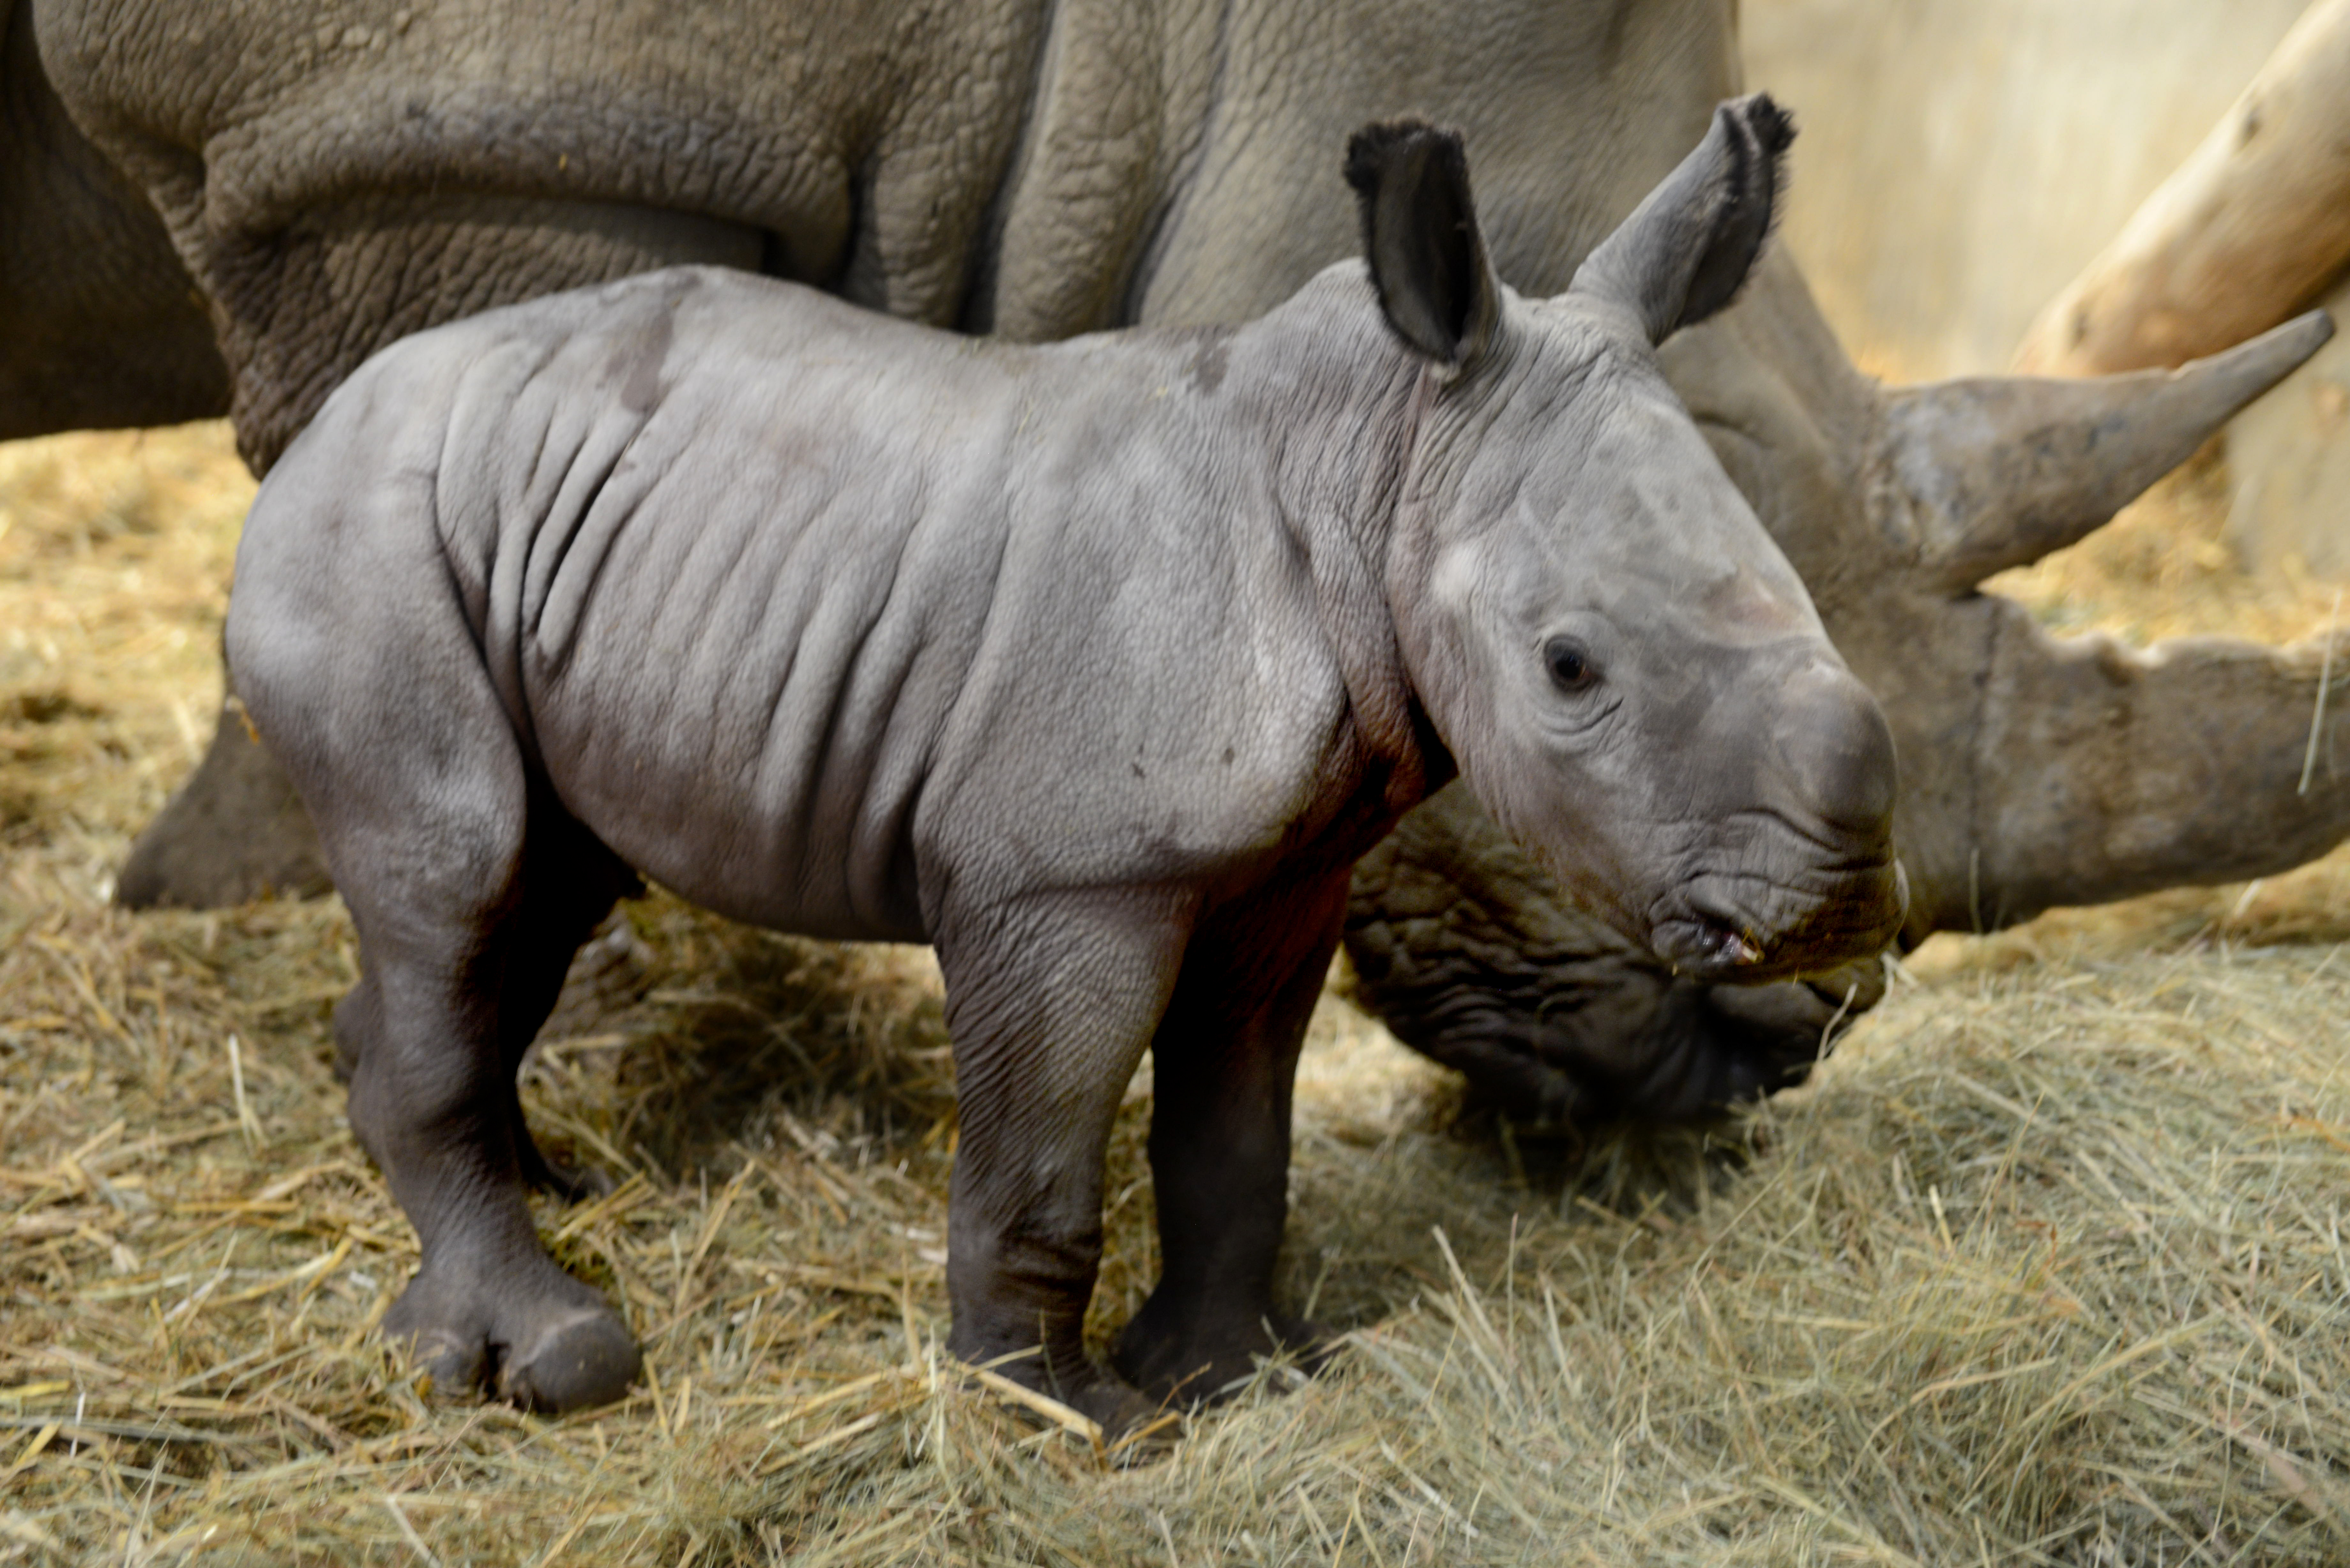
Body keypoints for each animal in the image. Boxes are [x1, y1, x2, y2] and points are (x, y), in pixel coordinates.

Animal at [224, 92, 1908, 1429]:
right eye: (1568, 668)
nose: (1833, 917)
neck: (1378, 460)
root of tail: (318, 428)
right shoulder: (1062, 873)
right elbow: (1042, 1146)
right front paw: (1058, 1410)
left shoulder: (1283, 872)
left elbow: (1234, 1133)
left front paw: (1235, 1375)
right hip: (364, 532)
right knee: (461, 864)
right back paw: (552, 1353)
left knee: (535, 886)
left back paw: (545, 1188)